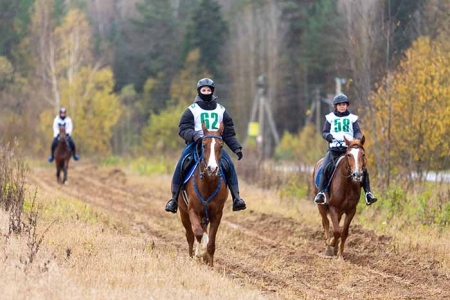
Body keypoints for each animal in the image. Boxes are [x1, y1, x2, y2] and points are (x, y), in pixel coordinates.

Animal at [178, 122, 229, 268]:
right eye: (204, 145)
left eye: (221, 146)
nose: (212, 168)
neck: (208, 184)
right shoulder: (192, 210)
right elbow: (198, 233)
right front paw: (199, 254)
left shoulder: (217, 215)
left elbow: (211, 243)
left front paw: (209, 263)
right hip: (183, 213)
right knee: (190, 235)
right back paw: (191, 256)